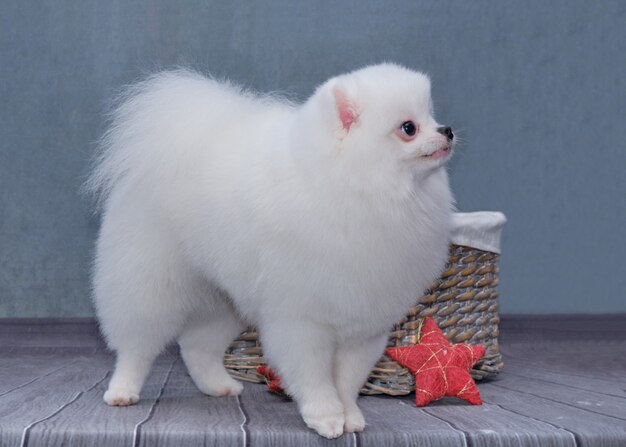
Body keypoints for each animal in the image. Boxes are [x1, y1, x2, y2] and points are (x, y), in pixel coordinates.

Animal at [85, 65, 450, 440]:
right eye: (408, 128)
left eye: (431, 116)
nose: (447, 130)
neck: (357, 189)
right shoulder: (302, 321)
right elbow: (315, 378)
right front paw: (326, 418)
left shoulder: (363, 326)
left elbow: (347, 381)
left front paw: (350, 416)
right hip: (151, 285)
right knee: (136, 345)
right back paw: (122, 391)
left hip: (224, 301)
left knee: (196, 347)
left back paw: (218, 386)